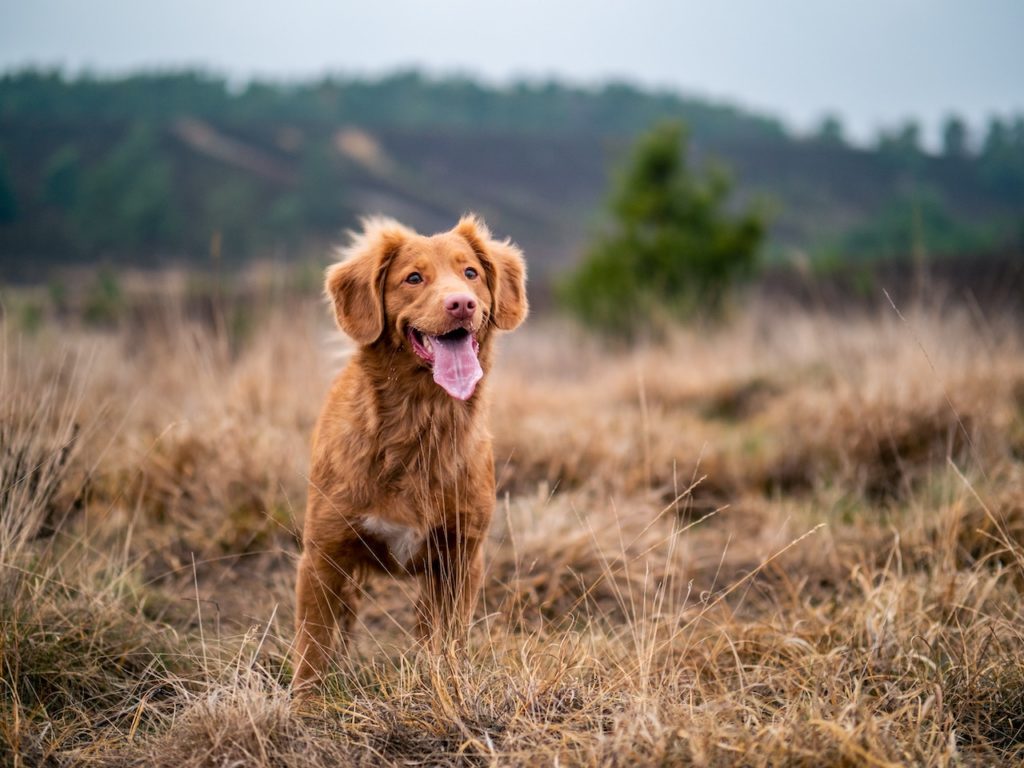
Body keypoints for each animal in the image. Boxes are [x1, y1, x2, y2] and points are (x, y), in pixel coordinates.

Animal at [290, 214, 524, 688]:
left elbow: (449, 641)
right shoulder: (322, 556)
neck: (420, 424)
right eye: (413, 278)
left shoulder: (459, 558)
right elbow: (312, 649)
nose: (461, 304)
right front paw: (303, 702)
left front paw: (448, 683)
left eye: (471, 273)